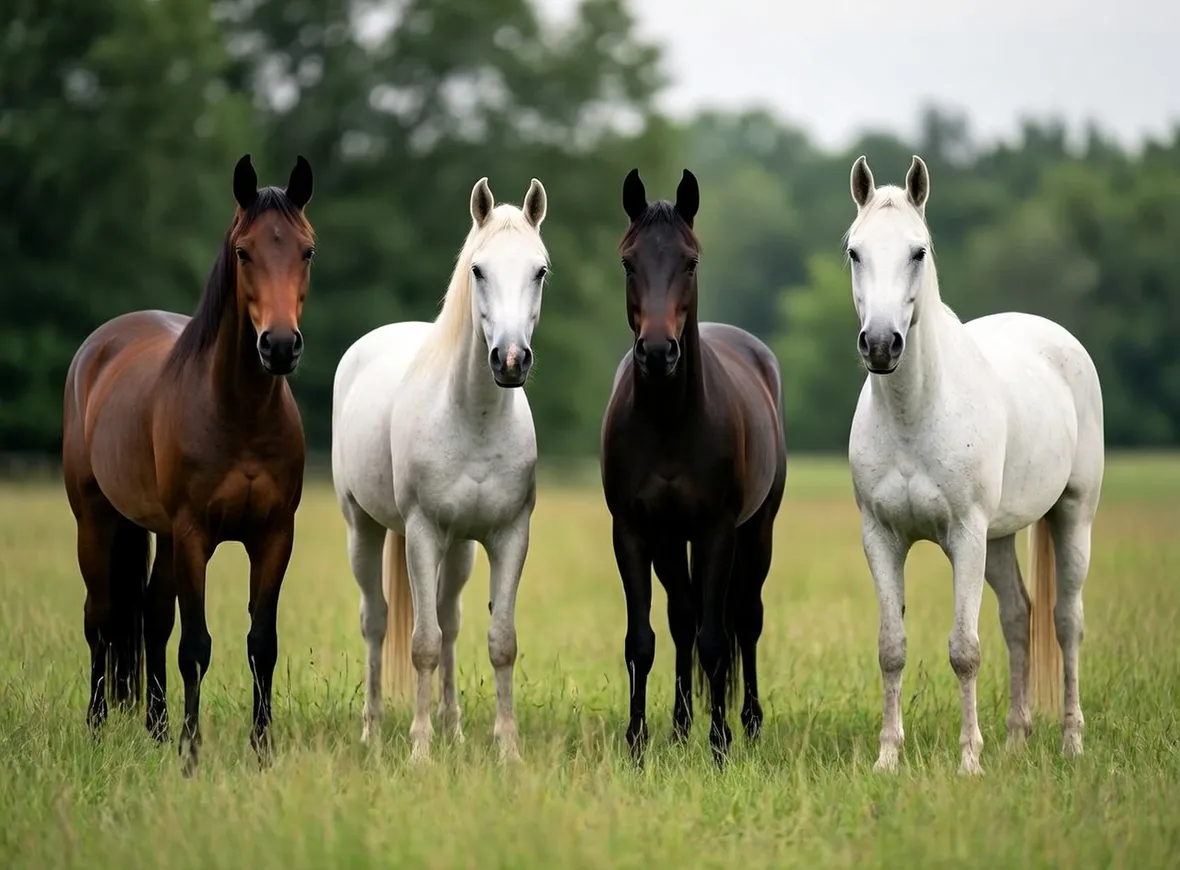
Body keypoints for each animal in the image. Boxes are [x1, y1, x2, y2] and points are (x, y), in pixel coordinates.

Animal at [61, 154, 315, 775]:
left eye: (306, 250)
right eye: (244, 251)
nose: (278, 346)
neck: (239, 413)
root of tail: (97, 347)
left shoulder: (275, 536)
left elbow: (261, 644)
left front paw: (261, 750)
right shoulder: (196, 533)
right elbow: (196, 646)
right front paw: (190, 753)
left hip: (163, 536)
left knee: (152, 617)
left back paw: (154, 728)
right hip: (96, 522)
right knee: (101, 619)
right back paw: (98, 727)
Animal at [331, 176, 549, 763]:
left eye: (539, 270)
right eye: (478, 269)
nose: (511, 360)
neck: (473, 418)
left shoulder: (509, 536)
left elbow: (500, 642)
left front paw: (508, 751)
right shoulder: (423, 534)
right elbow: (422, 644)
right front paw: (420, 753)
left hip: (461, 550)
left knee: (450, 621)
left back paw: (453, 729)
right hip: (365, 529)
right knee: (376, 621)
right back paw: (373, 731)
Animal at [600, 168, 787, 767]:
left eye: (690, 262)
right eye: (628, 262)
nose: (659, 352)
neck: (669, 422)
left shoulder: (716, 531)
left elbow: (715, 639)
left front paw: (720, 745)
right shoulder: (635, 532)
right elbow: (643, 640)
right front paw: (637, 744)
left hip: (758, 530)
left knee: (744, 619)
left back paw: (747, 723)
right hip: (670, 541)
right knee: (682, 619)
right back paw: (680, 726)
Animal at [844, 154, 1104, 775]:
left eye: (918, 251)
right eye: (854, 251)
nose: (882, 345)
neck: (914, 414)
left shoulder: (965, 535)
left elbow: (964, 650)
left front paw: (968, 762)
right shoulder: (880, 538)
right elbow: (892, 648)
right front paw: (887, 758)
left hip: (1072, 516)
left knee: (1066, 622)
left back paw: (1071, 741)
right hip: (1001, 538)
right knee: (1018, 617)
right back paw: (1015, 739)